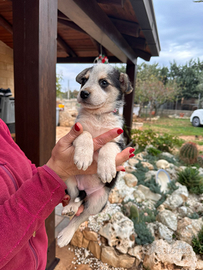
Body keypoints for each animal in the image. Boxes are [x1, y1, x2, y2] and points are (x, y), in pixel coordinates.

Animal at [58, 64, 132, 248]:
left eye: (104, 82)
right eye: (84, 80)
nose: (83, 93)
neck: (98, 116)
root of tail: (86, 189)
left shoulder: (119, 143)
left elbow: (107, 146)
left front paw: (106, 169)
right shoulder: (75, 132)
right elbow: (85, 134)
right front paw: (84, 156)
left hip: (99, 201)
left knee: (81, 216)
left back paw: (66, 234)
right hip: (69, 179)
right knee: (76, 198)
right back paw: (70, 208)